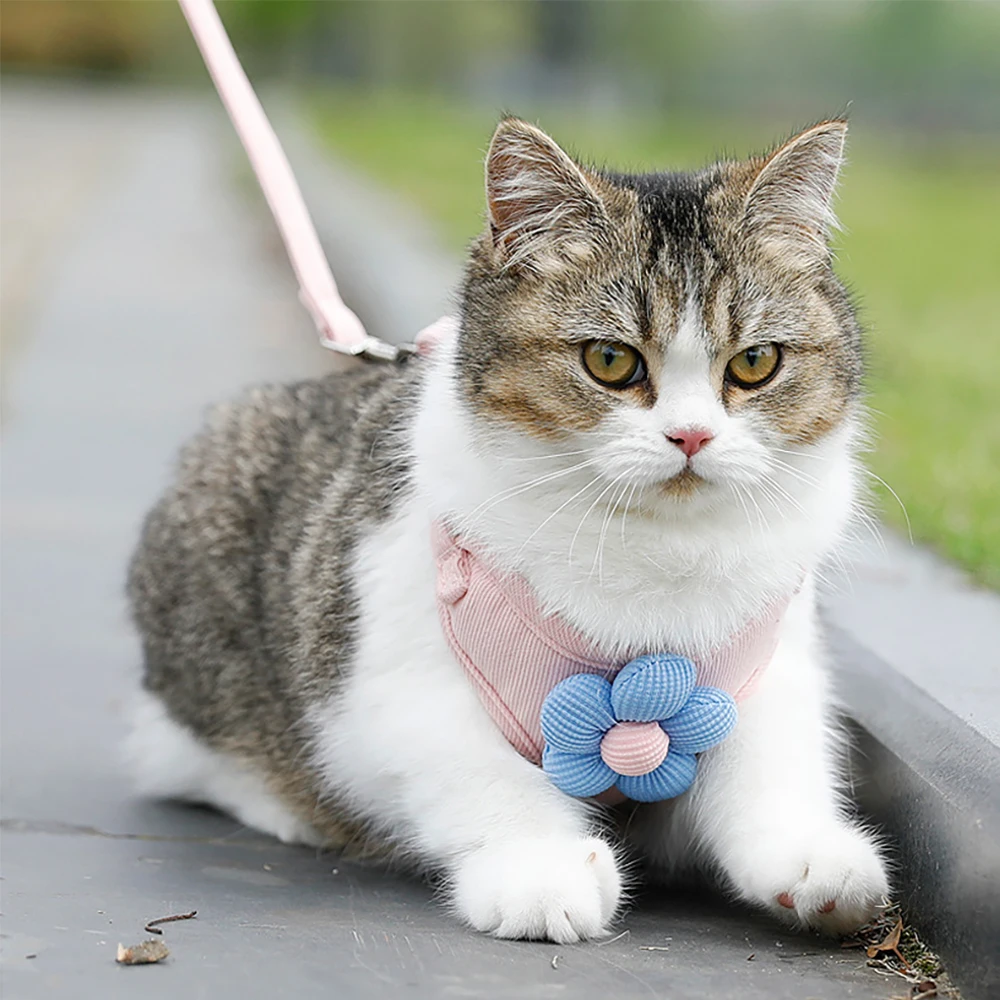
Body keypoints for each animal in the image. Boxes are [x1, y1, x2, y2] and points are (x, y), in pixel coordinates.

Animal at [126, 116, 889, 943]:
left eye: (754, 362)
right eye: (610, 359)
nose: (691, 436)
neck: (648, 547)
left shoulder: (762, 670)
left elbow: (769, 762)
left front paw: (808, 853)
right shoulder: (389, 687)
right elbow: (480, 774)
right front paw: (540, 867)